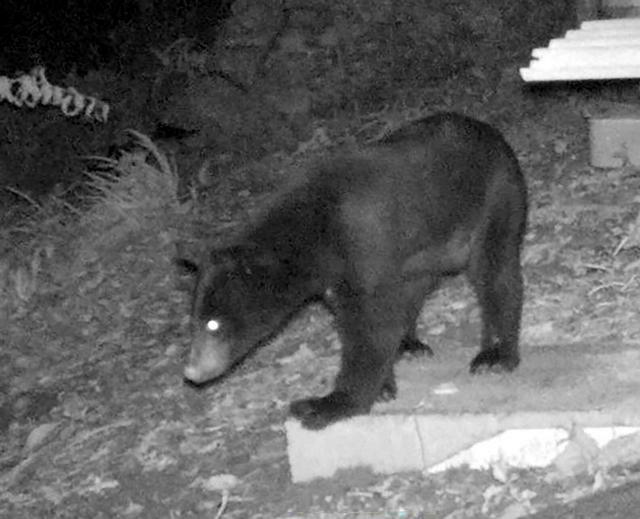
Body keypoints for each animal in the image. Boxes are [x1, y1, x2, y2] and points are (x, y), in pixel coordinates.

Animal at [179, 112, 524, 430]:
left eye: (213, 324)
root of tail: (491, 132)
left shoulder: (364, 247)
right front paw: (384, 386)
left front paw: (324, 405)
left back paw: (495, 357)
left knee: (495, 273)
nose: (192, 372)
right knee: (416, 290)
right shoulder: (342, 274)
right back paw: (410, 346)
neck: (315, 234)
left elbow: (371, 327)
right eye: (194, 322)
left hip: (495, 201)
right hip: (421, 251)